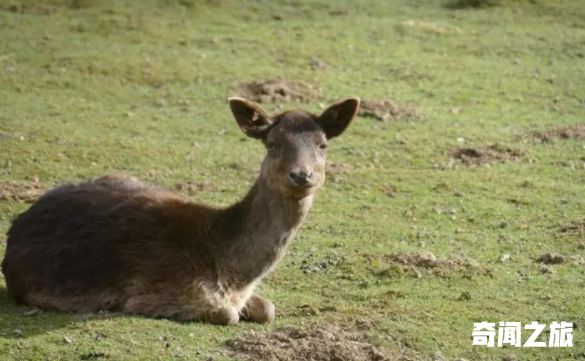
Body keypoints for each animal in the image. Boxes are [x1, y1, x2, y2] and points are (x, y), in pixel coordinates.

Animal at [1, 97, 360, 324]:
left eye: (322, 144)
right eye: (272, 143)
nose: (301, 175)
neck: (232, 274)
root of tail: (18, 223)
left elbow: (269, 309)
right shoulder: (156, 289)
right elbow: (228, 315)